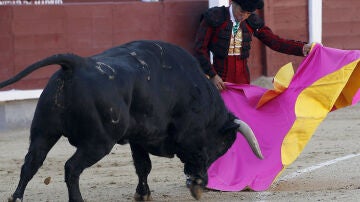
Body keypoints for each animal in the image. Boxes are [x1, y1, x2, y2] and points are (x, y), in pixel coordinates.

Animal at [1, 40, 262, 201]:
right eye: (222, 147)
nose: (203, 182)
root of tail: (77, 63)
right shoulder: (191, 137)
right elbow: (189, 158)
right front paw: (197, 186)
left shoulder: (139, 137)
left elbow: (142, 166)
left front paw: (143, 194)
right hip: (98, 142)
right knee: (71, 167)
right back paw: (77, 199)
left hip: (44, 131)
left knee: (31, 162)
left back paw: (16, 197)